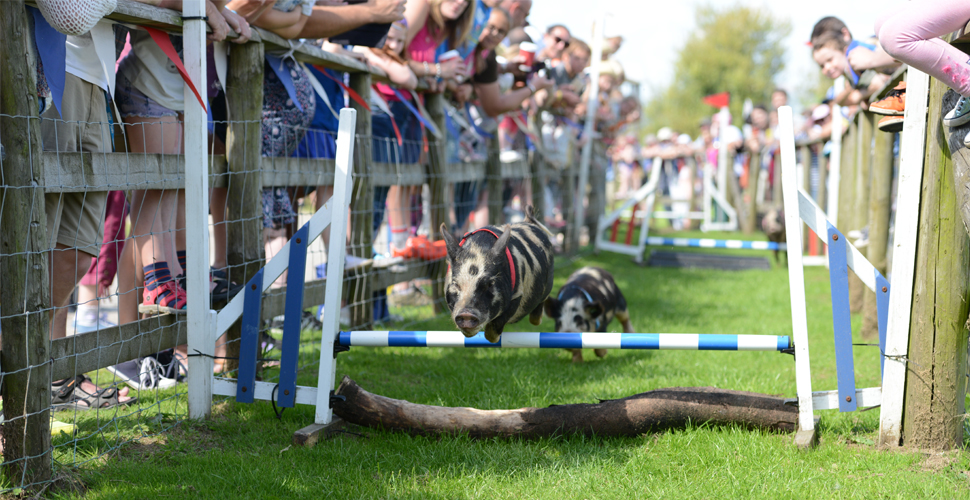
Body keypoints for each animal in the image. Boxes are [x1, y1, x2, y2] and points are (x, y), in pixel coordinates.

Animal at [438, 206, 552, 344]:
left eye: (489, 283)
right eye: (455, 283)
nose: (466, 314)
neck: (478, 249)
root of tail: (529, 220)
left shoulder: (517, 294)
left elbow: (492, 331)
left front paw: (494, 338)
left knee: (539, 309)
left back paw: (537, 320)